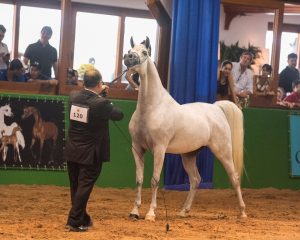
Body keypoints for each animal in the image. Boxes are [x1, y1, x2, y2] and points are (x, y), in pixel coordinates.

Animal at [123, 37, 245, 221]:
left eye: (144, 52)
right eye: (131, 49)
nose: (128, 58)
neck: (152, 108)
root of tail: (216, 108)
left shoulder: (159, 149)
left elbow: (154, 180)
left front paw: (151, 213)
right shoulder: (137, 148)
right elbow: (139, 179)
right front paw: (135, 211)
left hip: (223, 151)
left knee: (234, 178)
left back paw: (243, 212)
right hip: (188, 155)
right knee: (195, 180)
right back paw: (184, 211)